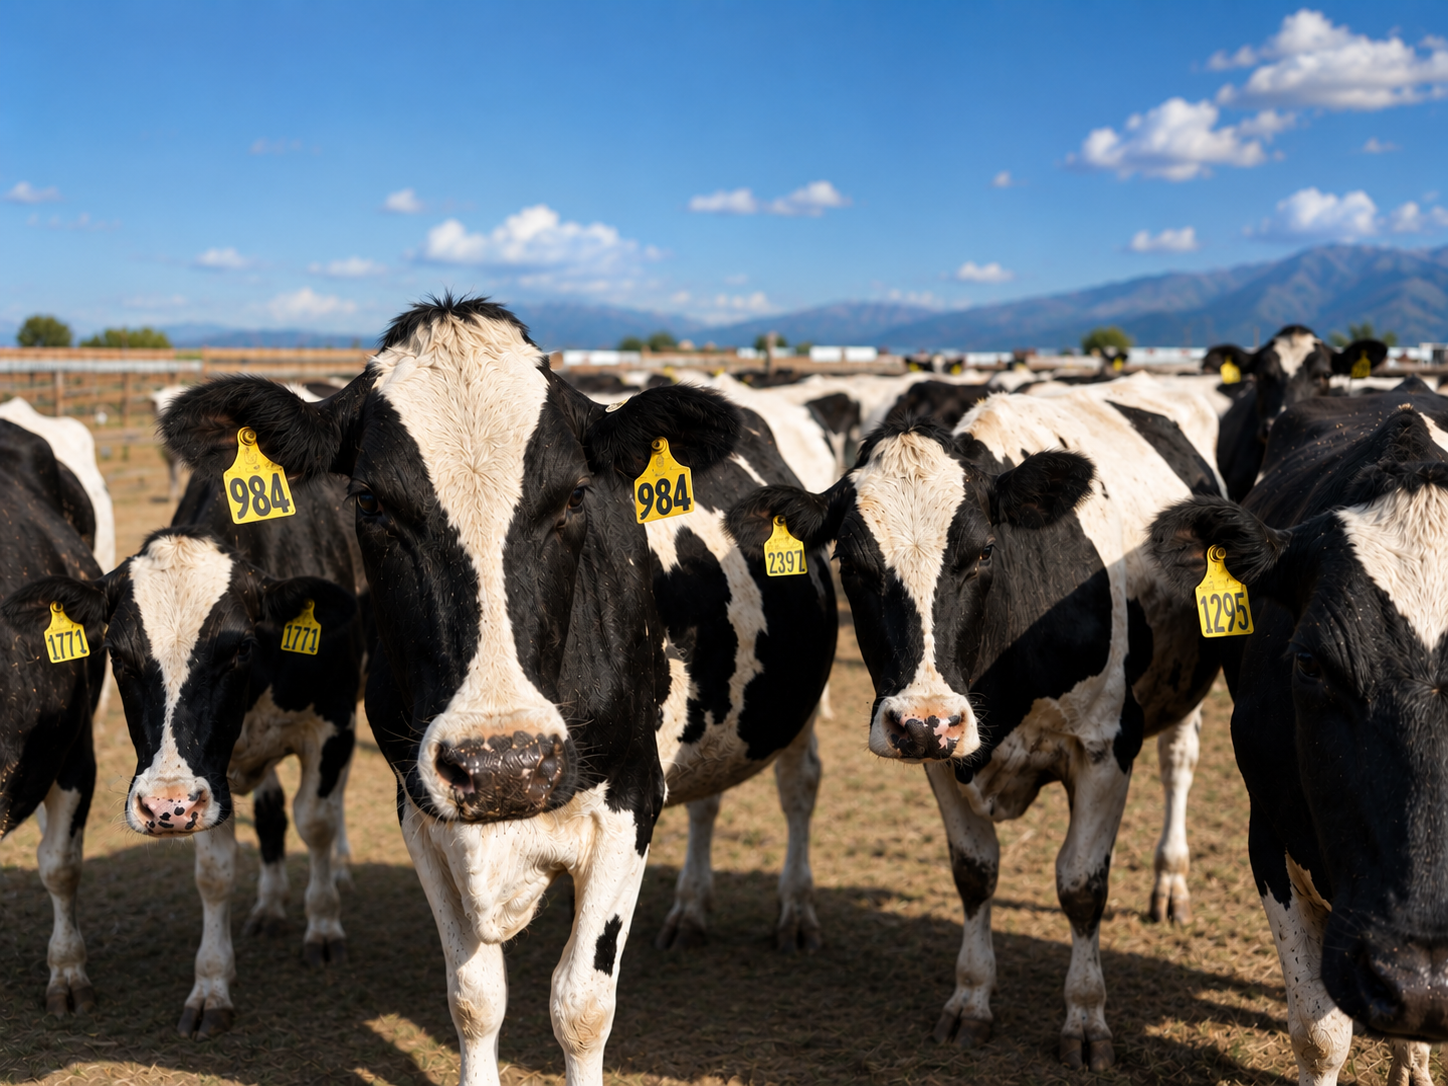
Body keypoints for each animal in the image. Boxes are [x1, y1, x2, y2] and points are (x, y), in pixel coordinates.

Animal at [17, 466, 366, 1039]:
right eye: (117, 654)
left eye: (240, 648)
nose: (165, 807)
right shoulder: (212, 777)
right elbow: (216, 872)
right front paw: (212, 985)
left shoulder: (331, 722)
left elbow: (314, 821)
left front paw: (324, 925)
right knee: (272, 814)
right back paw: (270, 904)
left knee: (327, 809)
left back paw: (336, 870)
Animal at [154, 296, 834, 1085]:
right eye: (369, 501)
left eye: (575, 496)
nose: (503, 764)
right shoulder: (421, 812)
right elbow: (474, 996)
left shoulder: (630, 802)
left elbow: (580, 1004)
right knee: (707, 803)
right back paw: (691, 911)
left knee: (799, 788)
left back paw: (797, 912)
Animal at [727, 376, 1226, 1070]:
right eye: (850, 564)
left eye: (984, 551)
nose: (920, 721)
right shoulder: (944, 754)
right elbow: (974, 873)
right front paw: (971, 999)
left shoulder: (1105, 748)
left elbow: (1081, 884)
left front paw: (1086, 1017)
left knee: (1179, 764)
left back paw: (1170, 882)